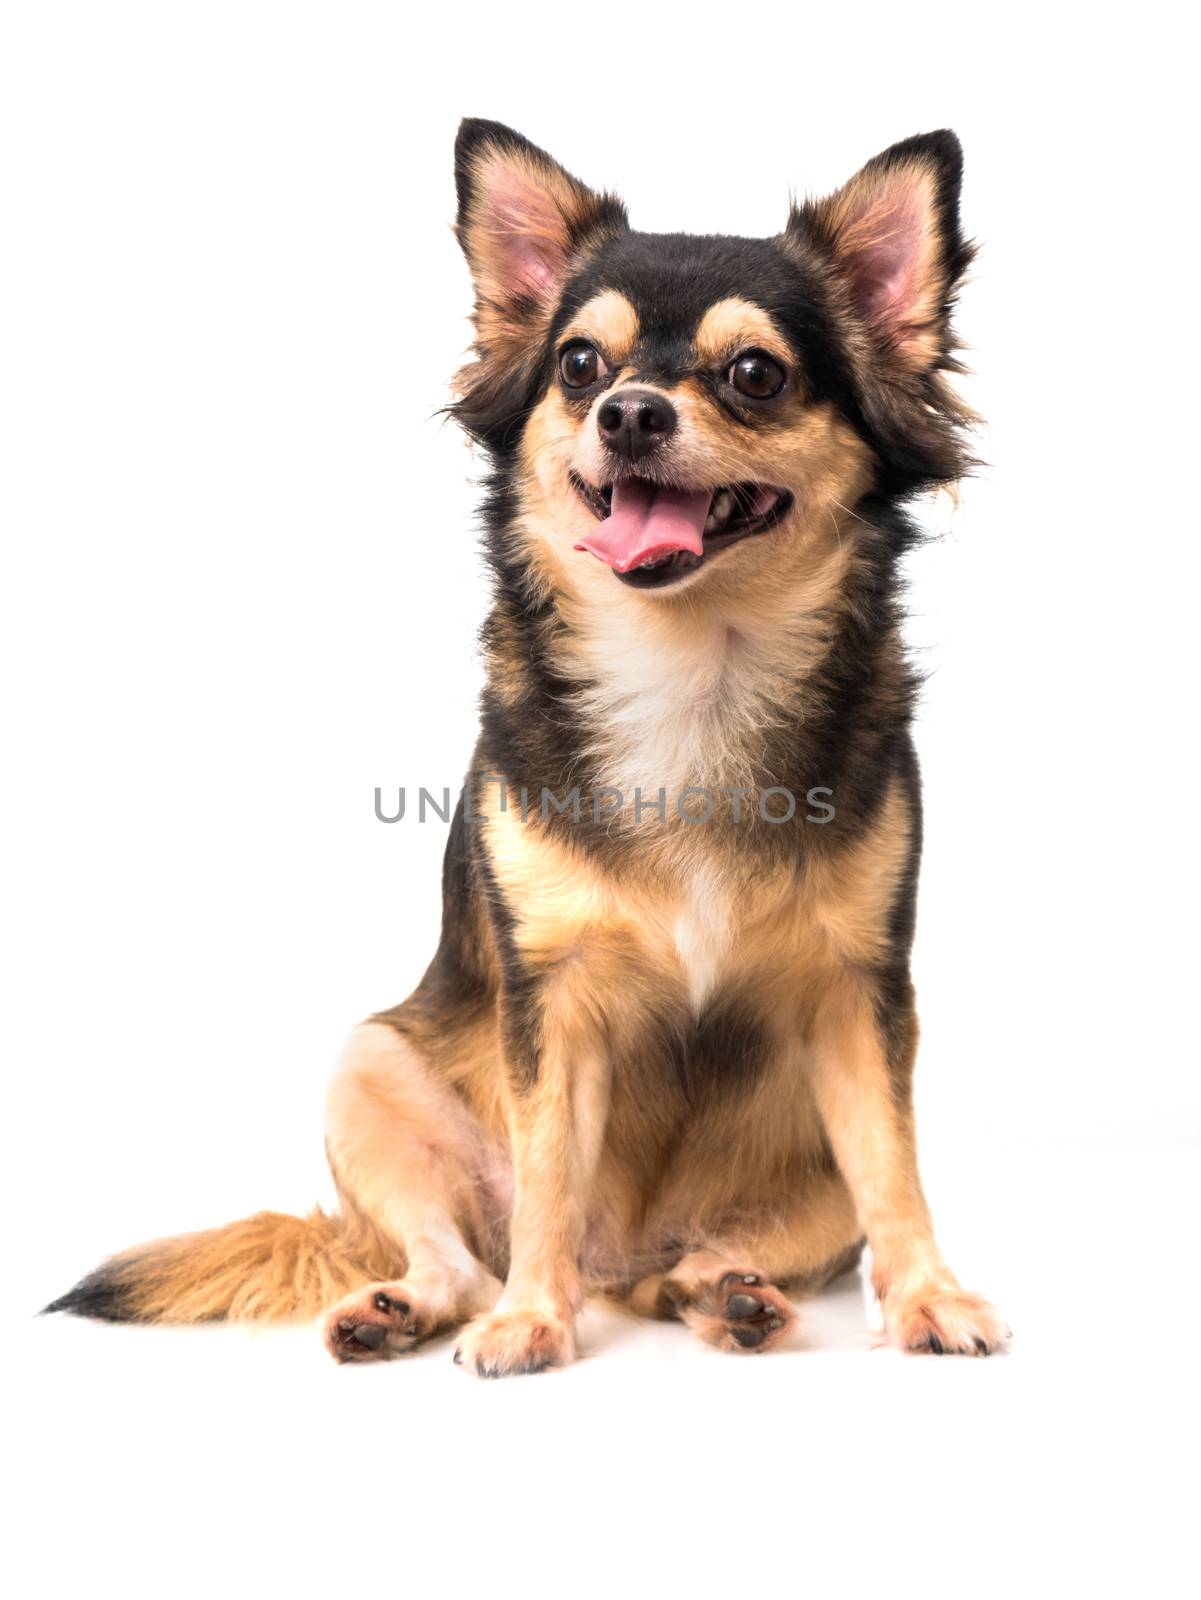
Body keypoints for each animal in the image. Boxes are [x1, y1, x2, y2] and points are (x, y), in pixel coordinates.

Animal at [44, 118, 1004, 1369]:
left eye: (755, 374)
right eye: (580, 366)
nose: (631, 412)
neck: (690, 669)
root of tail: (624, 1256)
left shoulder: (861, 1002)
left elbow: (895, 1168)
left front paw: (931, 1295)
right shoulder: (552, 1002)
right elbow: (551, 1170)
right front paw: (530, 1320)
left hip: (794, 1177)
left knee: (702, 1262)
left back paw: (729, 1293)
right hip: (367, 1064)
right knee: (456, 1252)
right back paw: (411, 1306)